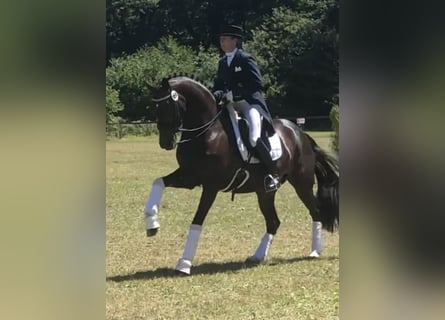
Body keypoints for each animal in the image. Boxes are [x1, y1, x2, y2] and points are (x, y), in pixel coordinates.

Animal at [144, 75, 338, 276]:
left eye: (168, 104)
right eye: (154, 106)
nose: (165, 143)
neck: (208, 132)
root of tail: (301, 133)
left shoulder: (210, 186)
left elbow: (197, 220)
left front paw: (184, 263)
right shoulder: (190, 177)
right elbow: (158, 182)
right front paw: (152, 224)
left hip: (302, 184)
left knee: (315, 212)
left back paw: (315, 251)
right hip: (264, 193)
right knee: (273, 222)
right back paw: (258, 256)